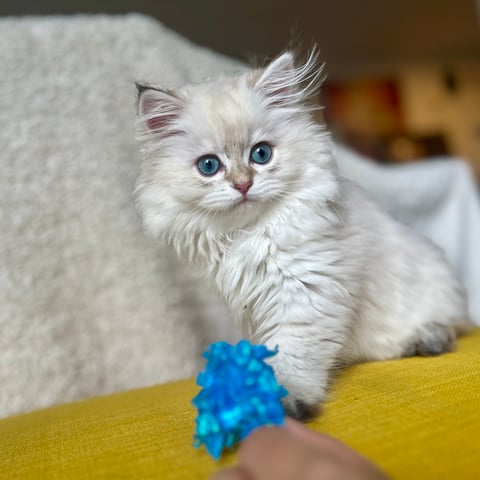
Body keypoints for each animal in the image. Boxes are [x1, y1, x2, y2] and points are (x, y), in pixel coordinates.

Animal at [133, 49, 470, 420]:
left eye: (261, 154)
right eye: (209, 166)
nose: (243, 185)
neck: (248, 235)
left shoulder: (306, 295)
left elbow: (290, 359)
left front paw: (280, 400)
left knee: (451, 324)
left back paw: (428, 339)